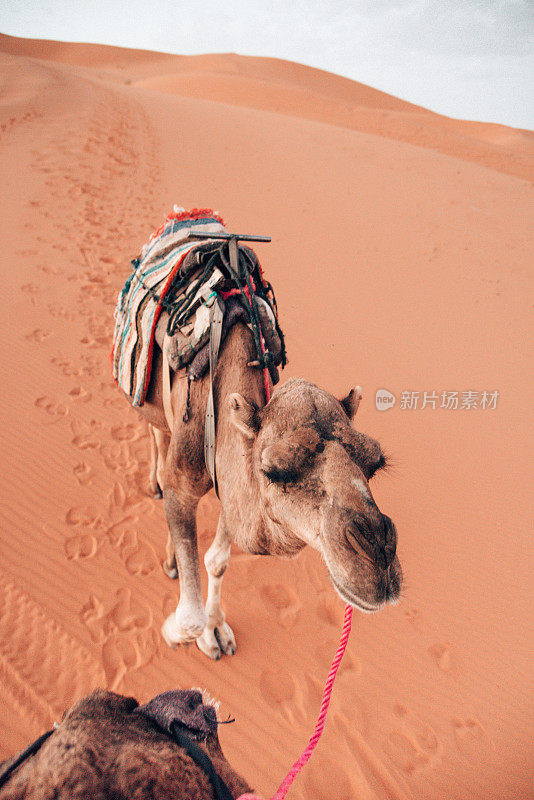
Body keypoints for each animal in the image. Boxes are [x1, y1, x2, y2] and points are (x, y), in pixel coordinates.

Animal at [133, 318, 402, 656]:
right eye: (274, 471)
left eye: (375, 463)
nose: (378, 557)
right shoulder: (184, 482)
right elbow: (190, 618)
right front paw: (172, 631)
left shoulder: (233, 487)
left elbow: (218, 562)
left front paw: (215, 629)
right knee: (156, 435)